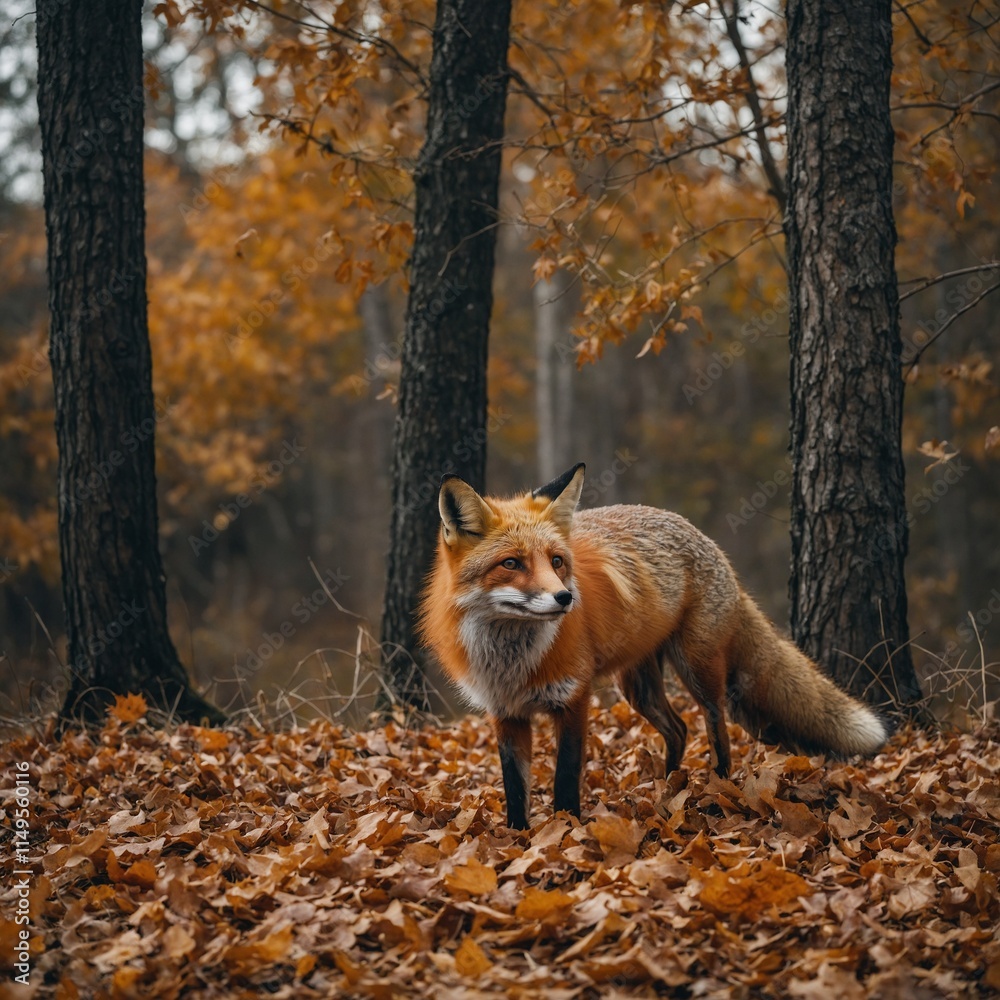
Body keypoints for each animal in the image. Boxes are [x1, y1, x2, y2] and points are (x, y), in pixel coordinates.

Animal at [419, 463, 888, 829]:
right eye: (511, 564)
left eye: (556, 561)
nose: (565, 599)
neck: (511, 658)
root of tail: (704, 539)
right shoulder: (506, 713)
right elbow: (515, 790)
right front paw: (518, 840)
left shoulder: (574, 699)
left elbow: (565, 780)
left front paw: (565, 830)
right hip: (637, 686)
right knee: (678, 729)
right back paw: (668, 789)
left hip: (697, 669)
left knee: (716, 729)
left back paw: (718, 788)